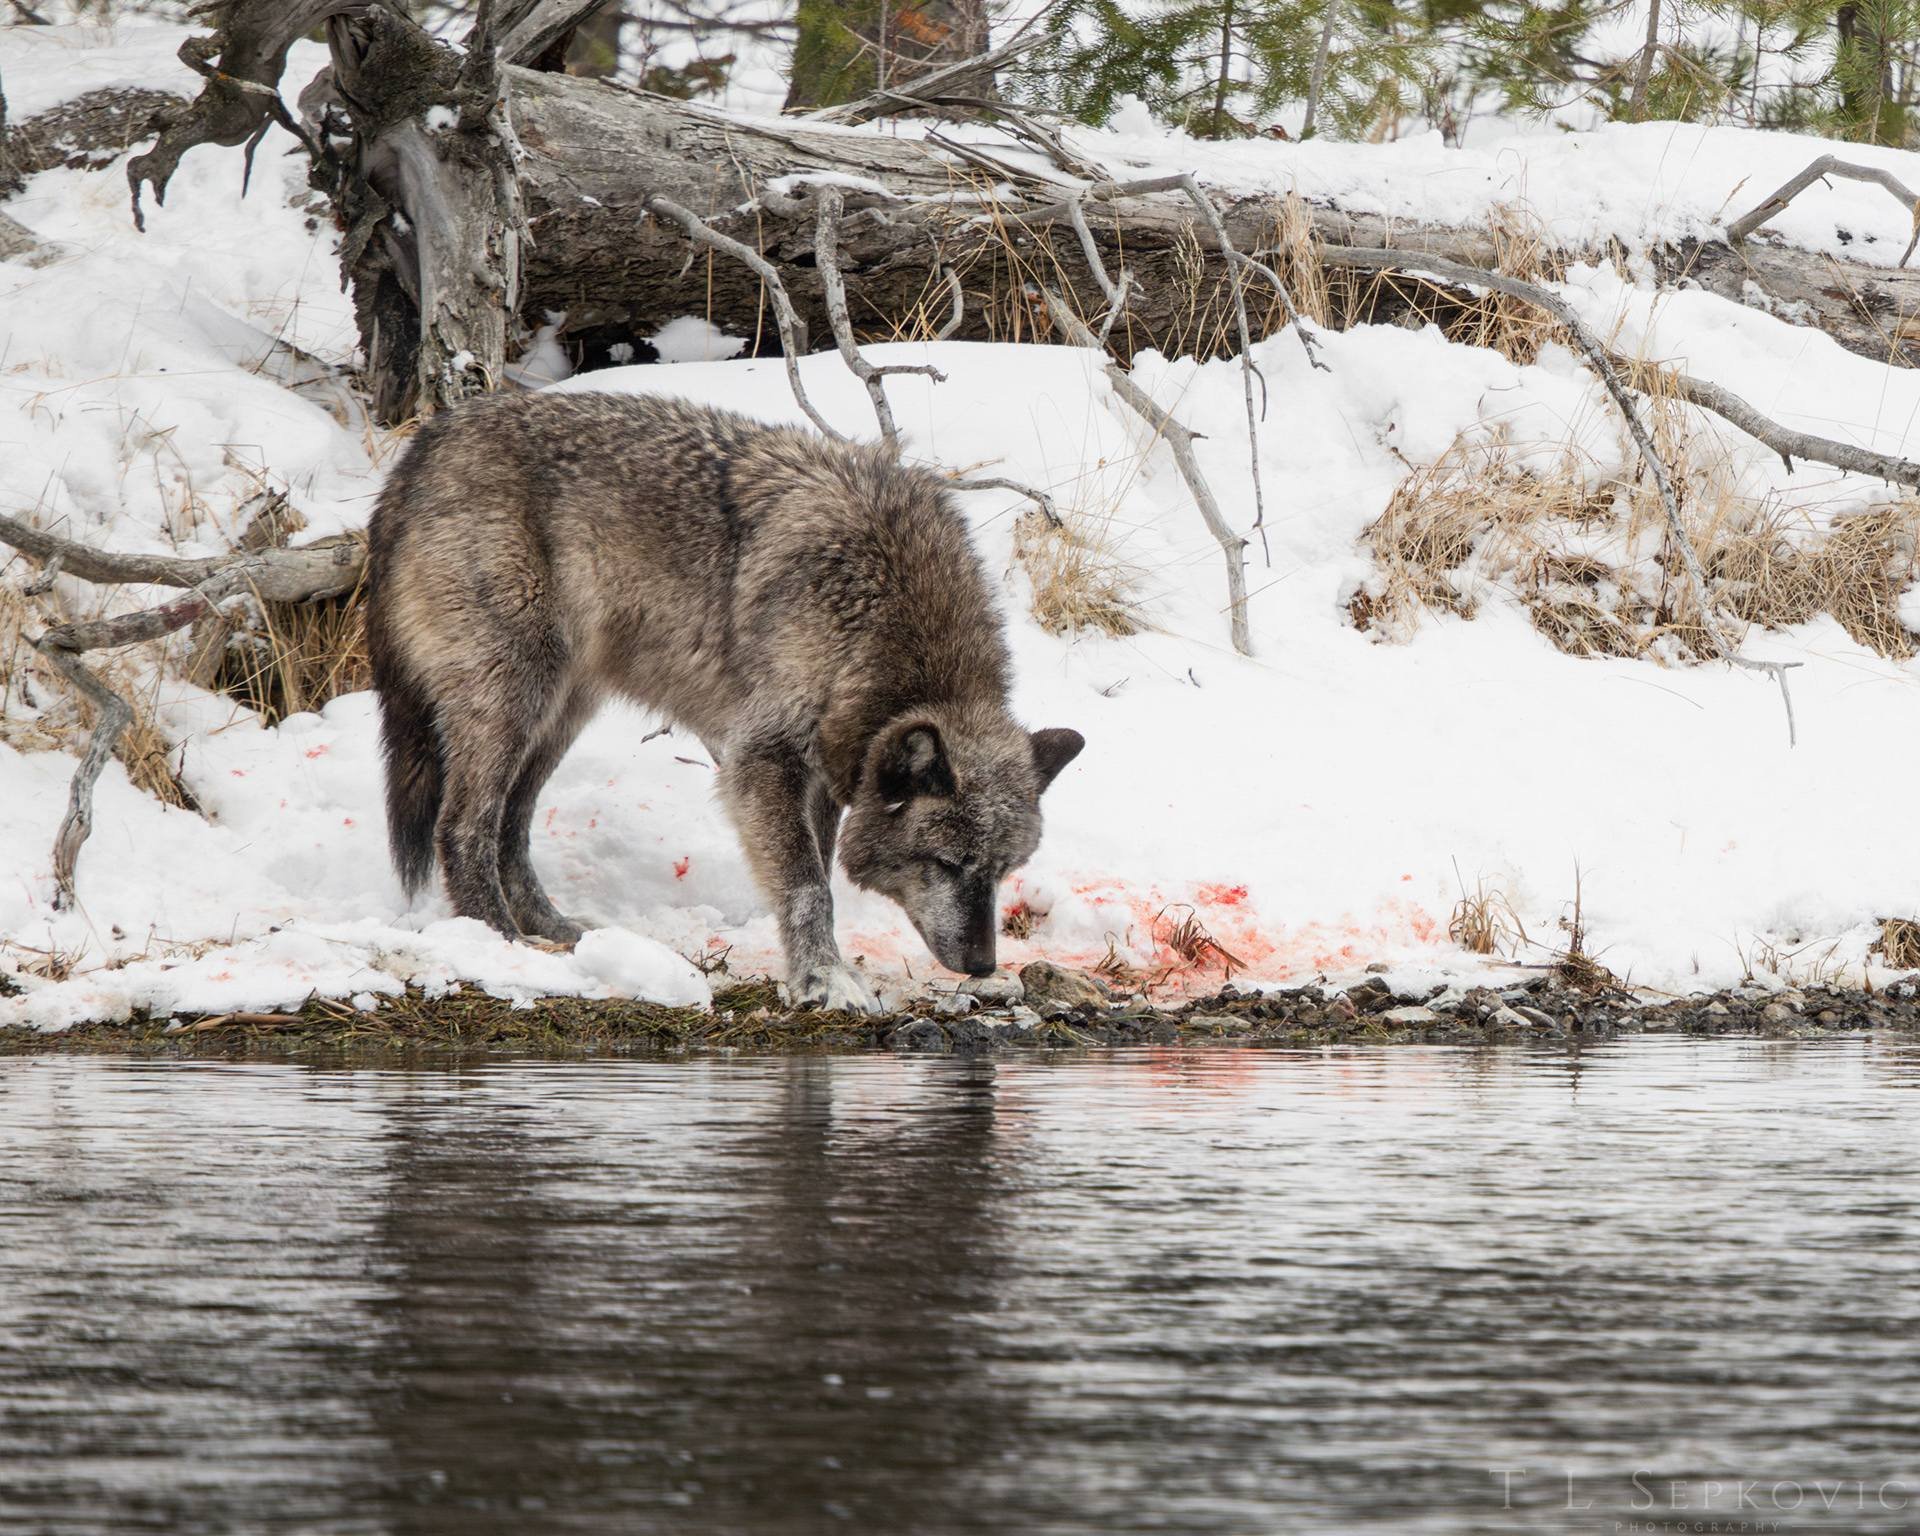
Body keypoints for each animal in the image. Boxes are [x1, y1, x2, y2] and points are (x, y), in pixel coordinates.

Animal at [364, 390, 1083, 1013]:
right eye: (947, 864)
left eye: (1004, 869)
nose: (985, 964)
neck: (881, 623)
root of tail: (428, 440)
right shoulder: (763, 758)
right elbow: (807, 886)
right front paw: (824, 982)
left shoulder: (826, 774)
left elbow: (816, 873)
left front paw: (817, 968)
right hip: (516, 696)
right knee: (463, 826)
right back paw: (503, 942)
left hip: (562, 714)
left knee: (512, 825)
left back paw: (555, 929)